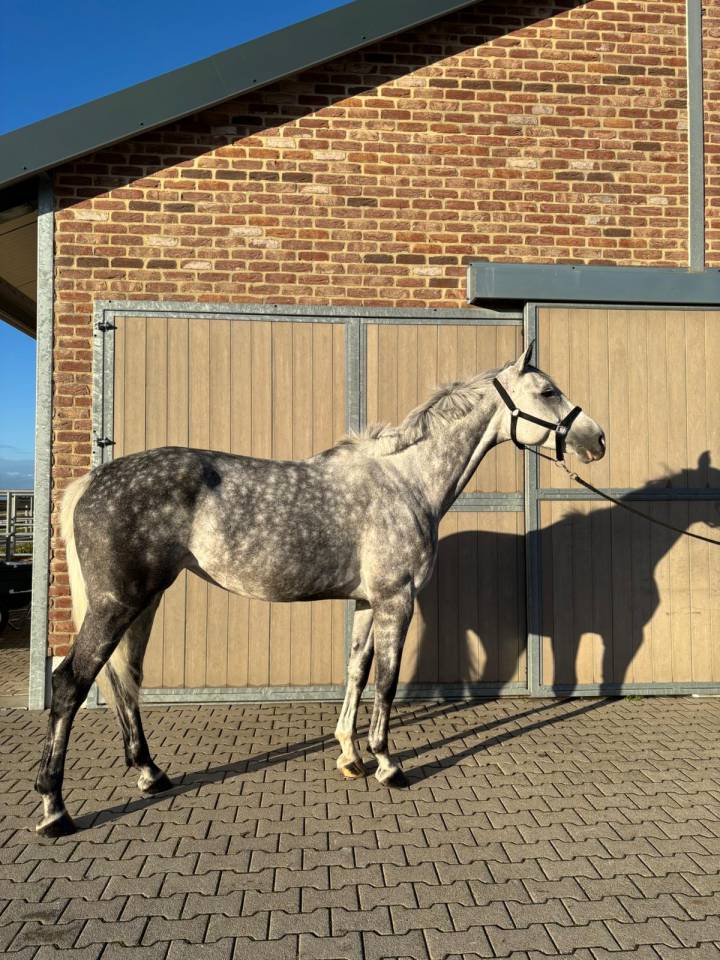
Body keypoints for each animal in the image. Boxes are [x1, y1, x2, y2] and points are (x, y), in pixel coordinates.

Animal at [35, 341, 605, 836]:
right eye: (548, 390)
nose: (597, 439)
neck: (405, 481)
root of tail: (92, 481)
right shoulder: (397, 600)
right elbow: (388, 681)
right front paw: (388, 764)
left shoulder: (367, 601)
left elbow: (357, 671)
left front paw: (350, 755)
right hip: (118, 603)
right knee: (71, 683)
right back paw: (55, 809)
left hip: (144, 602)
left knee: (125, 677)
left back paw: (151, 774)